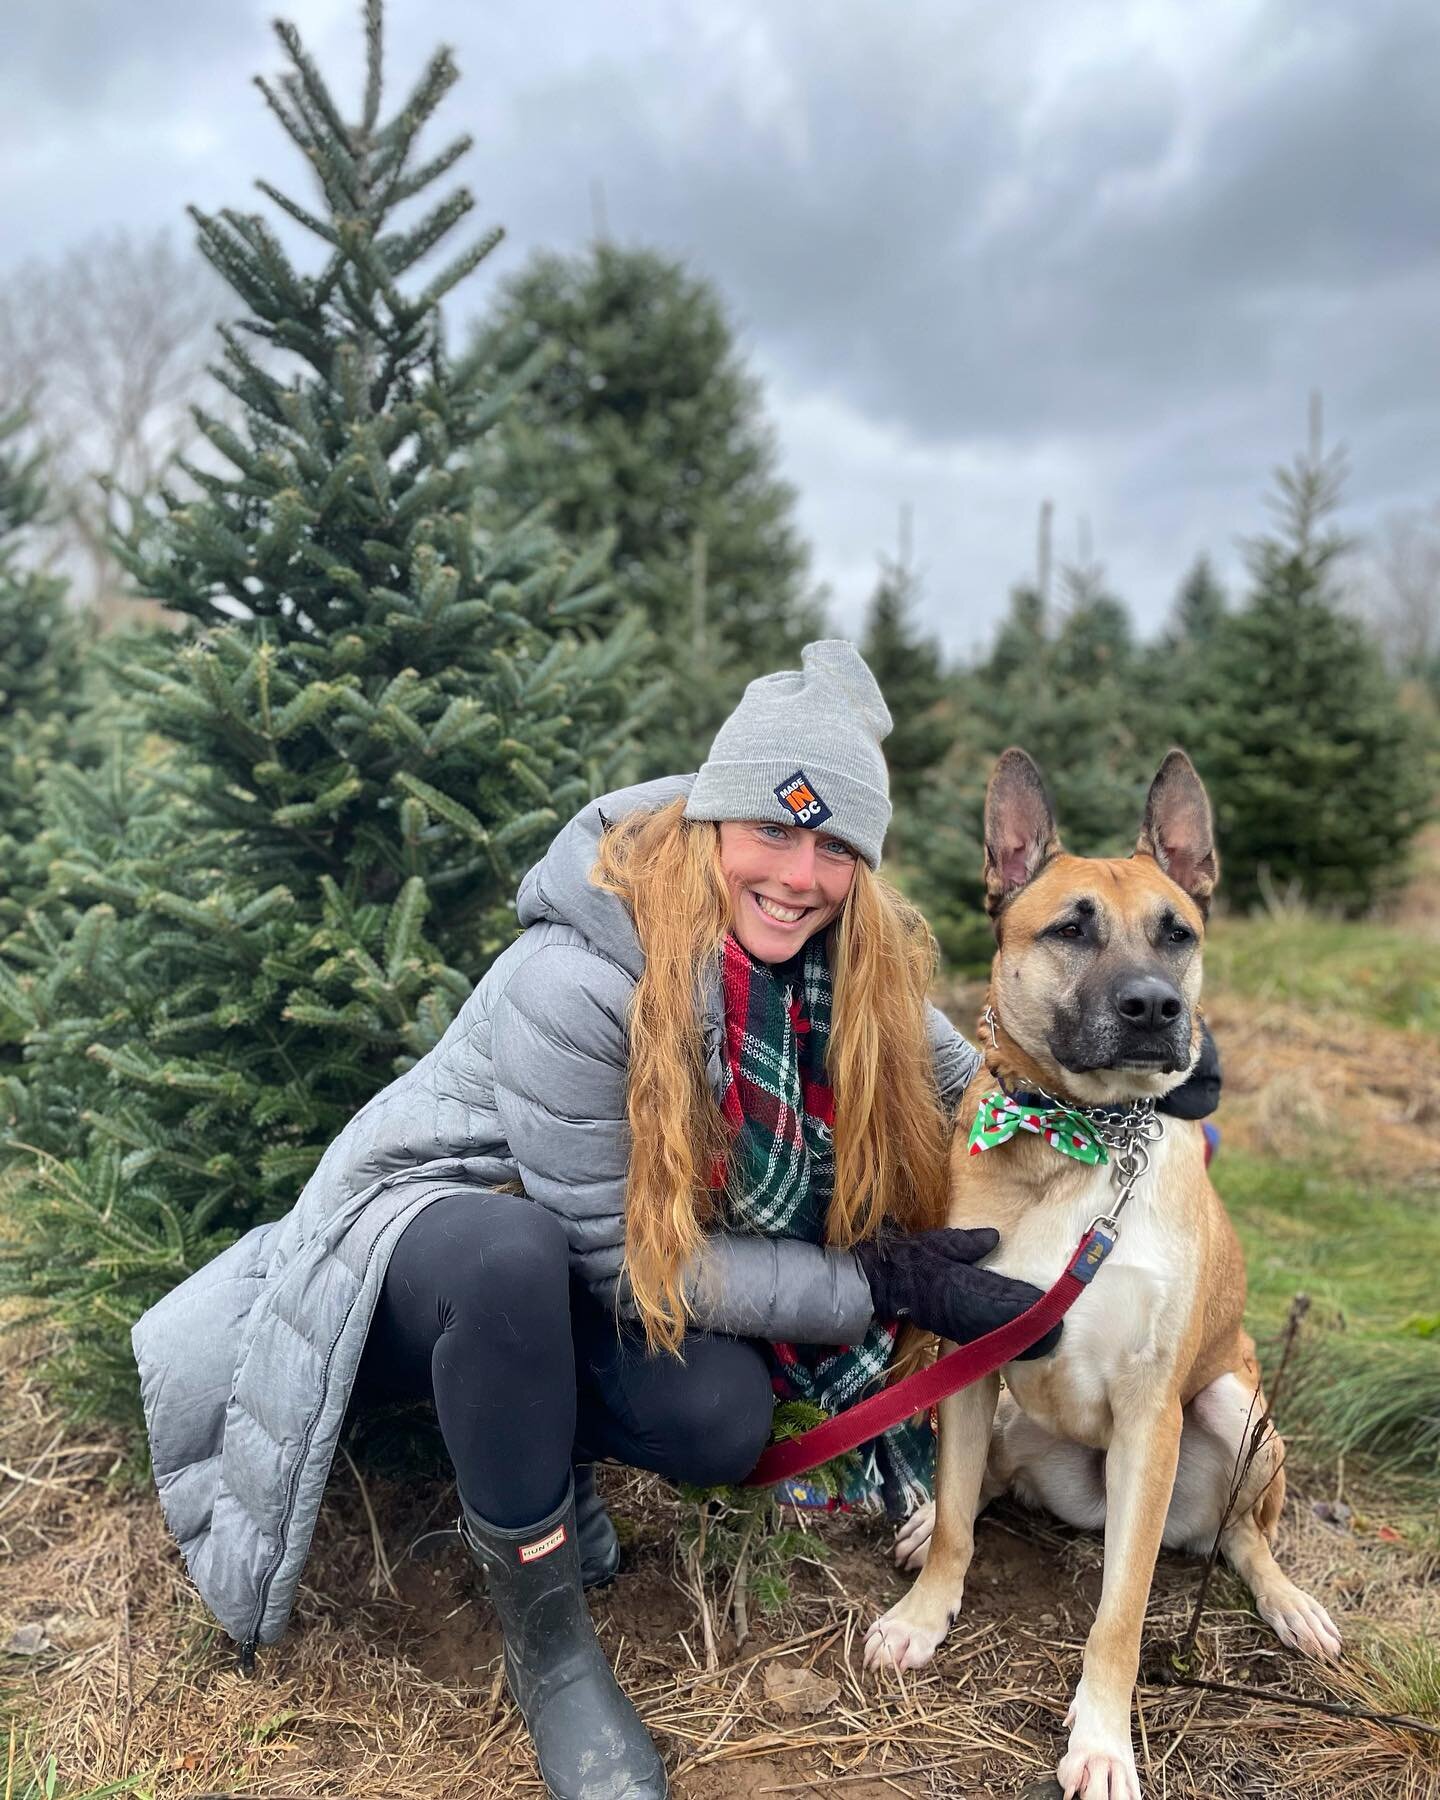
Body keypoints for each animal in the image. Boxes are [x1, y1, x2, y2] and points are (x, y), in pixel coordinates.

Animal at [860, 745, 1346, 1800]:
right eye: (1070, 929)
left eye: (1179, 934)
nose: (1155, 1007)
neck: (1087, 1140)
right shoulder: (974, 1356)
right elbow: (958, 1524)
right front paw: (923, 1613)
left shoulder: (1151, 1410)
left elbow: (1120, 1614)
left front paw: (1101, 1742)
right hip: (1009, 1408)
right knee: (986, 1484)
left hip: (1235, 1409)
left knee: (1244, 1536)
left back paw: (1290, 1603)